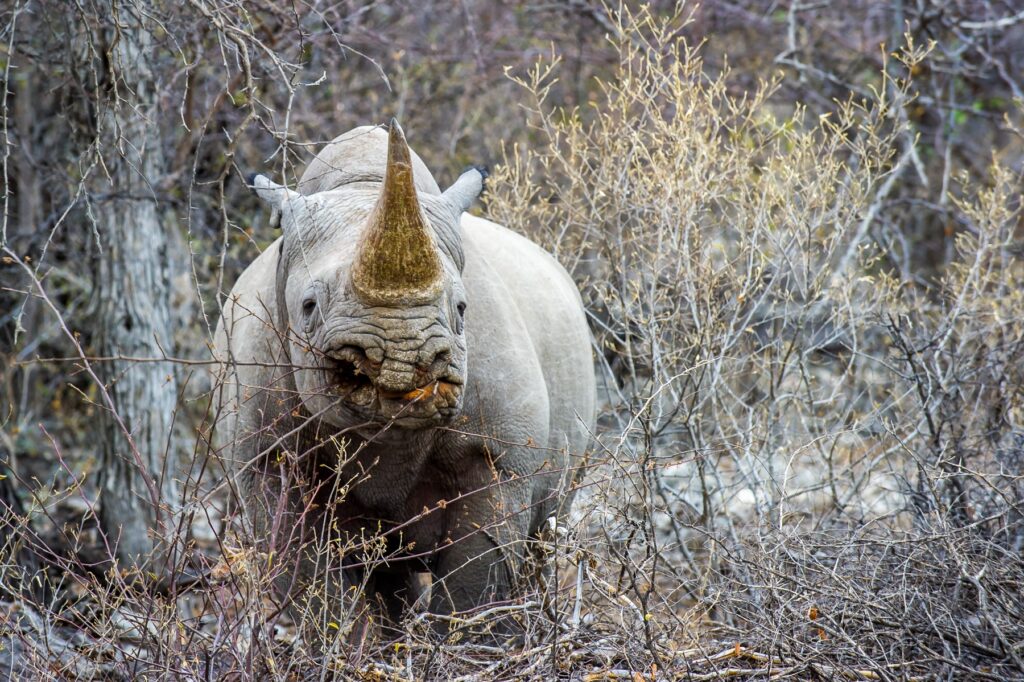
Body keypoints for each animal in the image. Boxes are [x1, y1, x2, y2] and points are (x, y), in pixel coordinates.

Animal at [212, 120, 595, 636]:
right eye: (308, 307)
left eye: (462, 308)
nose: (401, 360)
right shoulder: (267, 465)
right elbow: (315, 590)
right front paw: (355, 649)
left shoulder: (498, 457)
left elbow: (476, 581)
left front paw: (464, 646)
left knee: (541, 537)